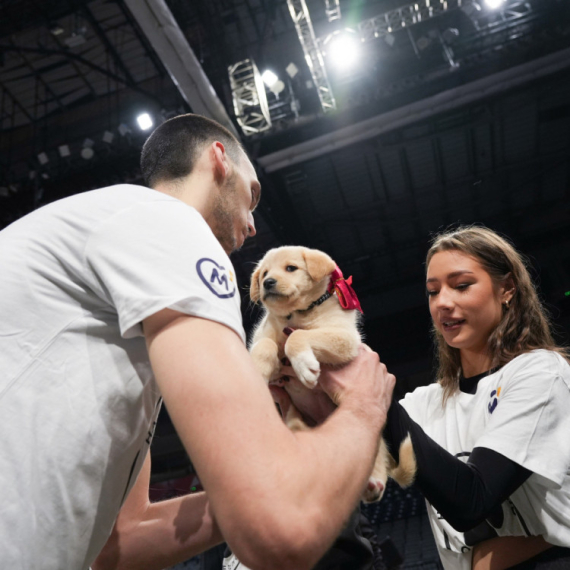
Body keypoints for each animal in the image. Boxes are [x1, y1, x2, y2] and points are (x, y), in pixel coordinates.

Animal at [247, 245, 412, 502]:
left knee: (375, 454)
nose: (268, 282)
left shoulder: (344, 338)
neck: (297, 314)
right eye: (264, 273)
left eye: (291, 268)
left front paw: (304, 364)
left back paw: (374, 482)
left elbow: (296, 336)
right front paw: (257, 370)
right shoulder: (266, 344)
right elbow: (266, 345)